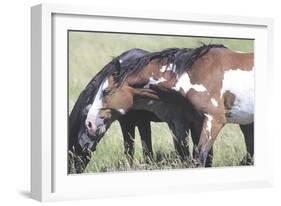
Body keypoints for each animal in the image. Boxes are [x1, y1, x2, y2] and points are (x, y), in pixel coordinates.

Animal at [84, 44, 253, 167]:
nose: (89, 123)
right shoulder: (193, 123)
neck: (199, 73)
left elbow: (199, 157)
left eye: (106, 91)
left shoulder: (214, 121)